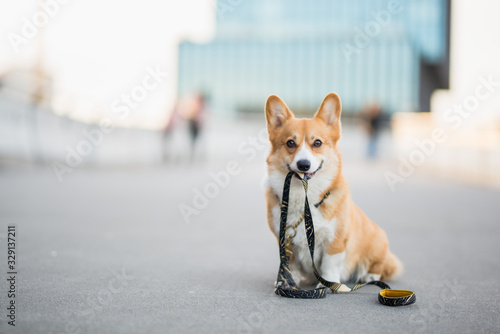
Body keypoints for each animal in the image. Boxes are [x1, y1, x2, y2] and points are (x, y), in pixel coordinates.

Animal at [266, 92, 402, 288]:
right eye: (290, 143)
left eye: (317, 143)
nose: (303, 164)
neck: (305, 199)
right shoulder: (285, 240)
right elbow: (290, 263)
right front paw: (288, 282)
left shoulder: (335, 241)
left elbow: (329, 264)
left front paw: (327, 284)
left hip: (377, 243)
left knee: (382, 266)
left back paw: (369, 276)